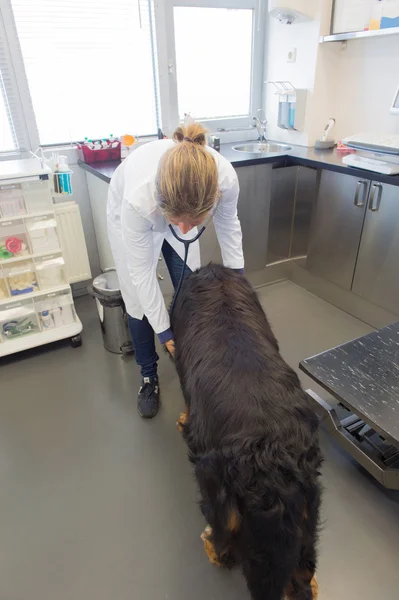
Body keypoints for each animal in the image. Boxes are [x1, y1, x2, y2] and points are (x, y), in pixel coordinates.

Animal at [173, 266, 324, 600]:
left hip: (214, 484)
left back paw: (212, 547)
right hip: (308, 512)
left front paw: (183, 418)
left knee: (221, 535)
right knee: (303, 568)